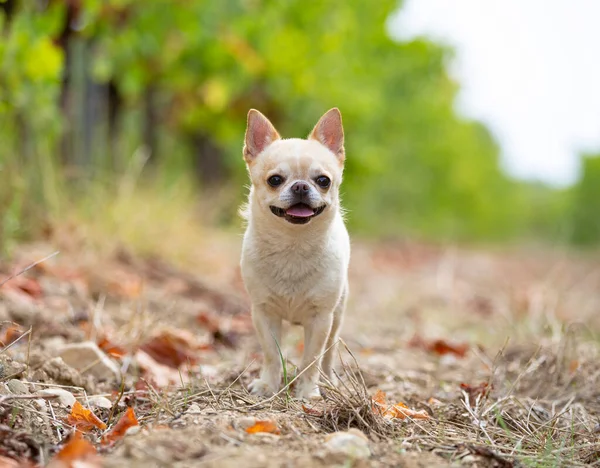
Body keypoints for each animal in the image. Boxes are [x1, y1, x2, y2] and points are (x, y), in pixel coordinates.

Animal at [240, 107, 352, 398]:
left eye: (323, 181)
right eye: (275, 180)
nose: (300, 186)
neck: (294, 246)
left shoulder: (320, 319)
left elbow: (311, 359)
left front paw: (307, 391)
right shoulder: (264, 313)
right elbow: (271, 353)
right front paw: (268, 384)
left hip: (337, 317)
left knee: (328, 354)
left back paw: (328, 381)